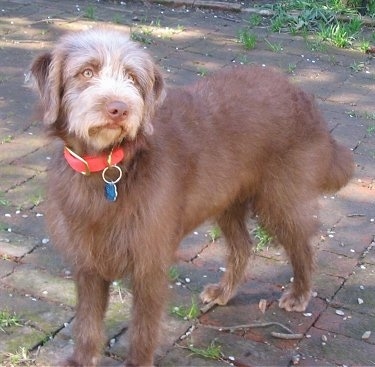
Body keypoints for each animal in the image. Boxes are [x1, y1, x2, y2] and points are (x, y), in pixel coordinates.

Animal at [30, 27, 356, 366]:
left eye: (132, 77)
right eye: (86, 72)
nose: (119, 109)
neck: (110, 165)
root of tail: (303, 96)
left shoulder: (150, 261)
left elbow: (143, 329)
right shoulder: (87, 261)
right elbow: (87, 322)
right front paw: (81, 359)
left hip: (279, 200)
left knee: (302, 245)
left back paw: (299, 294)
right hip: (227, 201)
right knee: (243, 246)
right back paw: (225, 291)